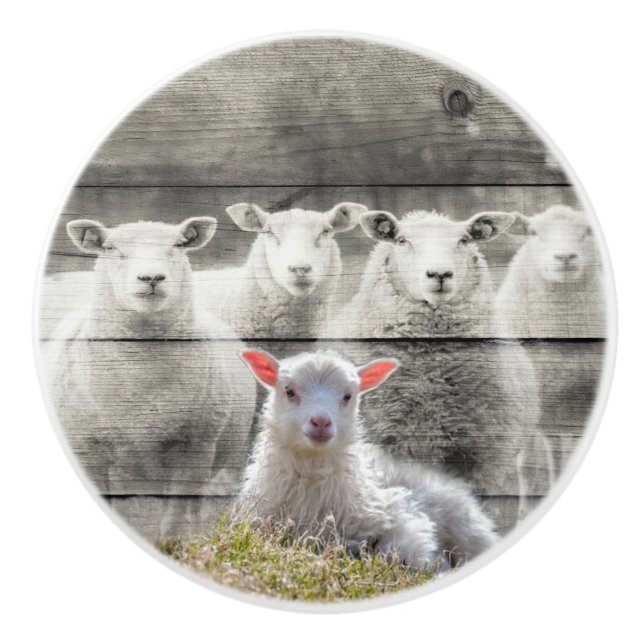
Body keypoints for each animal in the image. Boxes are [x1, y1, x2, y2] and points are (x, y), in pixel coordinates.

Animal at [236, 349, 498, 570]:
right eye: (289, 391)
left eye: (348, 396)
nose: (320, 422)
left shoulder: (400, 512)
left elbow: (399, 550)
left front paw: (435, 565)